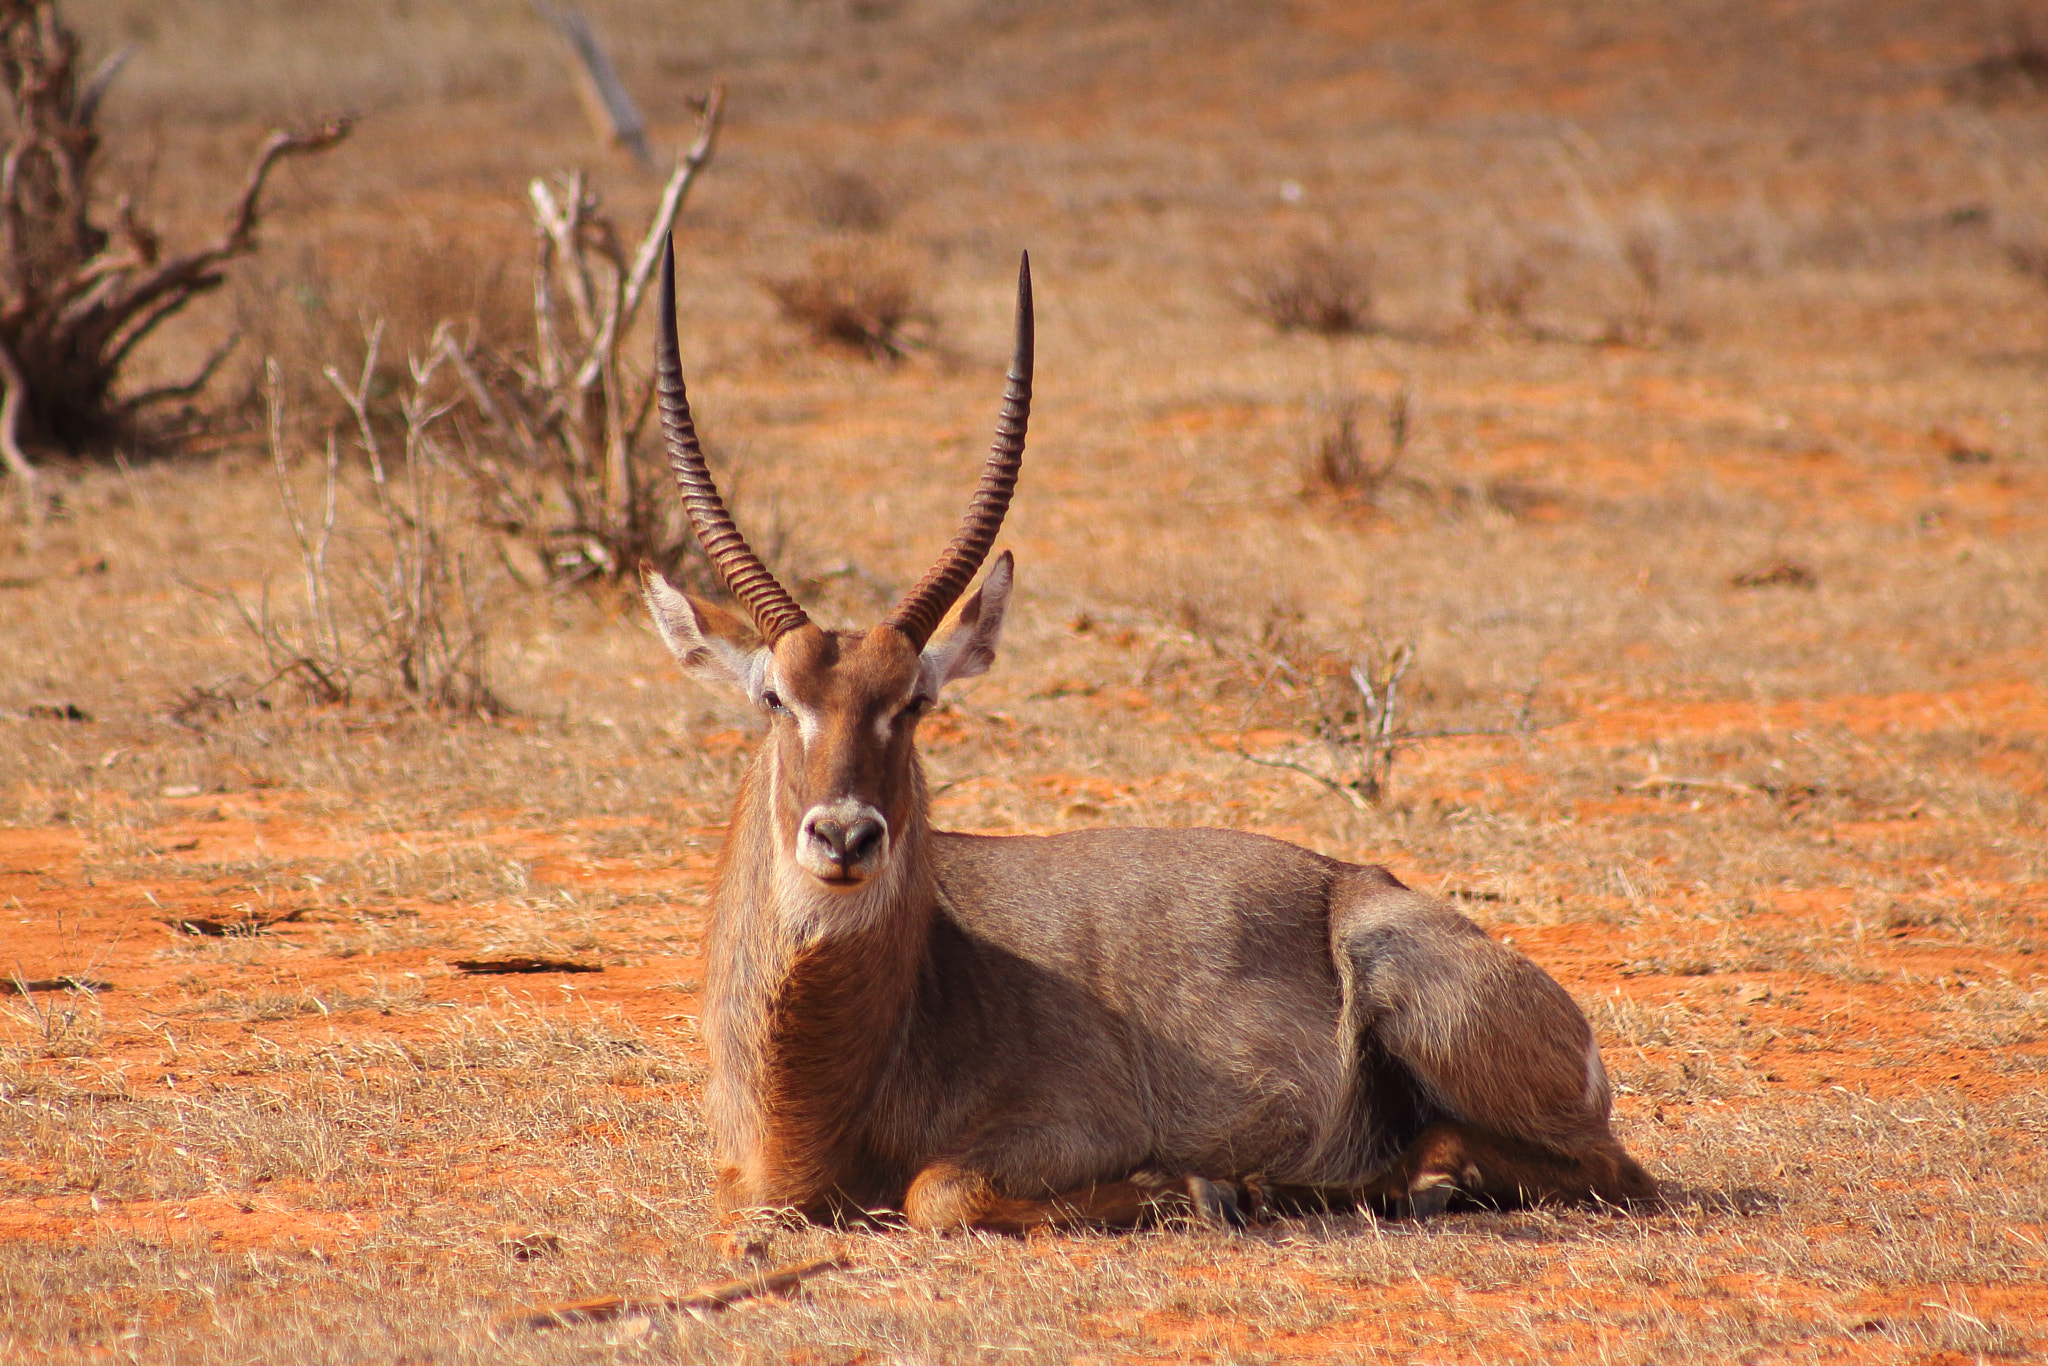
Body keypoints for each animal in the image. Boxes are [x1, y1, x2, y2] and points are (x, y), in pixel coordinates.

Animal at [647, 240, 1654, 1236]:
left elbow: (938, 1193)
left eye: (916, 701)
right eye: (776, 696)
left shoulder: (1065, 1127)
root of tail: (1369, 886)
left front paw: (1198, 1189)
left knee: (1606, 1171)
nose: (846, 836)